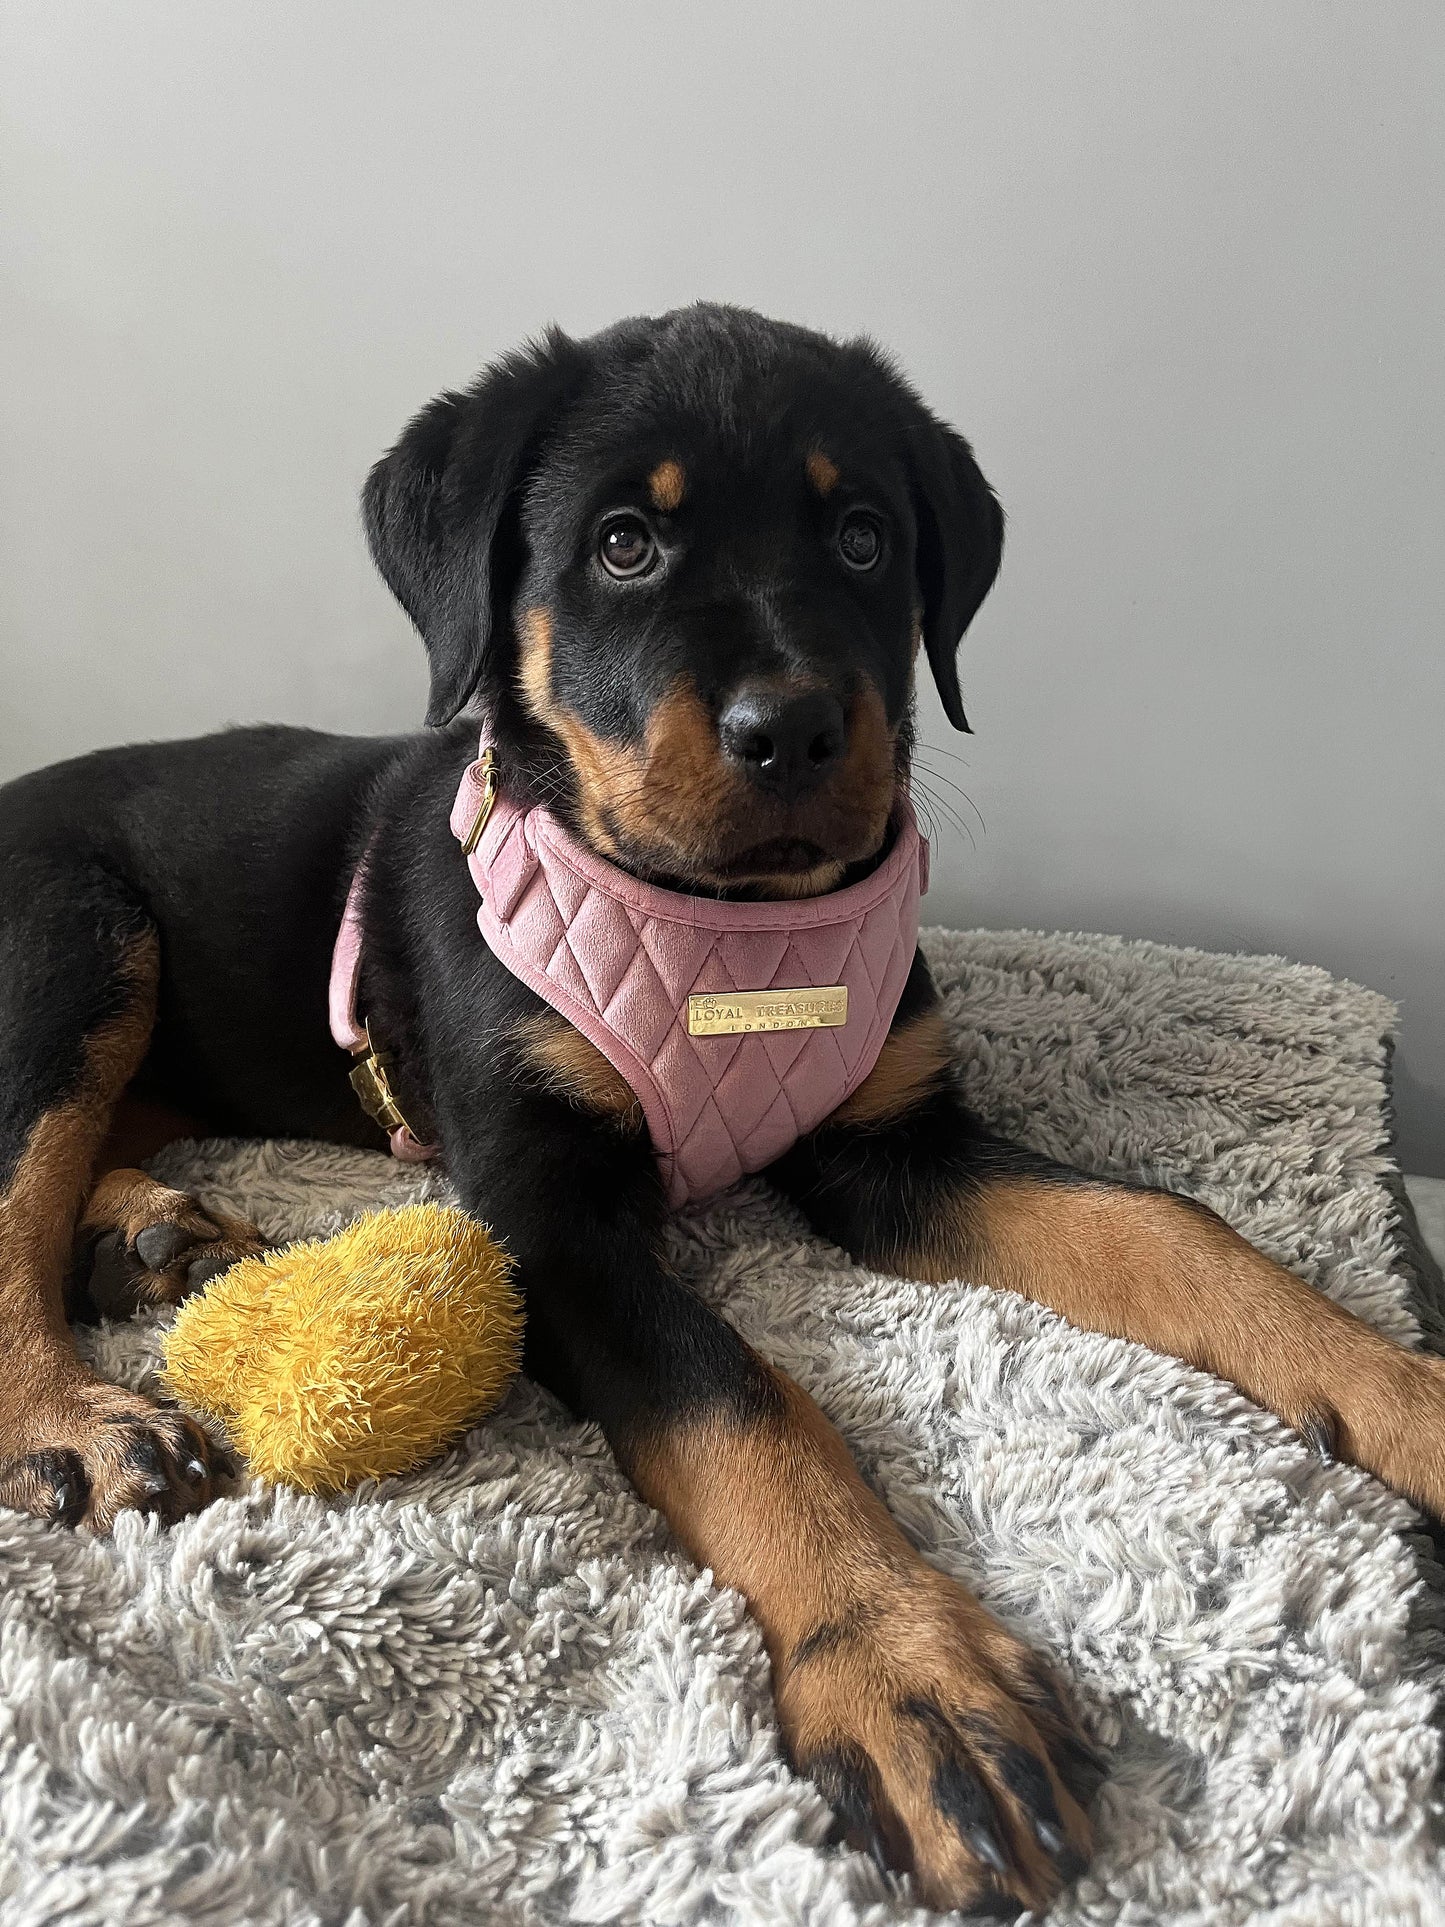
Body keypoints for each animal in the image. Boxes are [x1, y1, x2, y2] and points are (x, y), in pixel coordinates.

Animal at [2, 300, 1445, 1911]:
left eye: (867, 539)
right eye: (624, 542)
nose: (795, 731)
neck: (725, 937)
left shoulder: (894, 1143)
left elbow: (1166, 1227)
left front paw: (1404, 1392)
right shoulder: (553, 1220)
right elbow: (738, 1401)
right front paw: (908, 1673)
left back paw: (143, 1239)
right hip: (76, 927)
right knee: (21, 1171)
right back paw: (77, 1414)